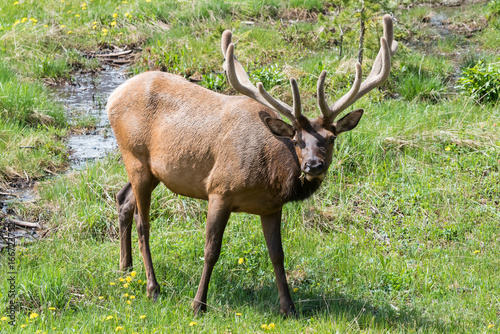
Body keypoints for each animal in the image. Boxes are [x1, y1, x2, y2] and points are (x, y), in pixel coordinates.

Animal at [106, 13, 398, 316]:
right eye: (297, 141)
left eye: (330, 139)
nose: (313, 166)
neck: (269, 176)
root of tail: (111, 97)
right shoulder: (218, 189)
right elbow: (211, 250)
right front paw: (198, 304)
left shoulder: (270, 207)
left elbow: (277, 255)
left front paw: (288, 307)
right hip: (135, 157)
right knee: (143, 222)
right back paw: (153, 288)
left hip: (151, 170)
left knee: (123, 198)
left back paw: (125, 268)